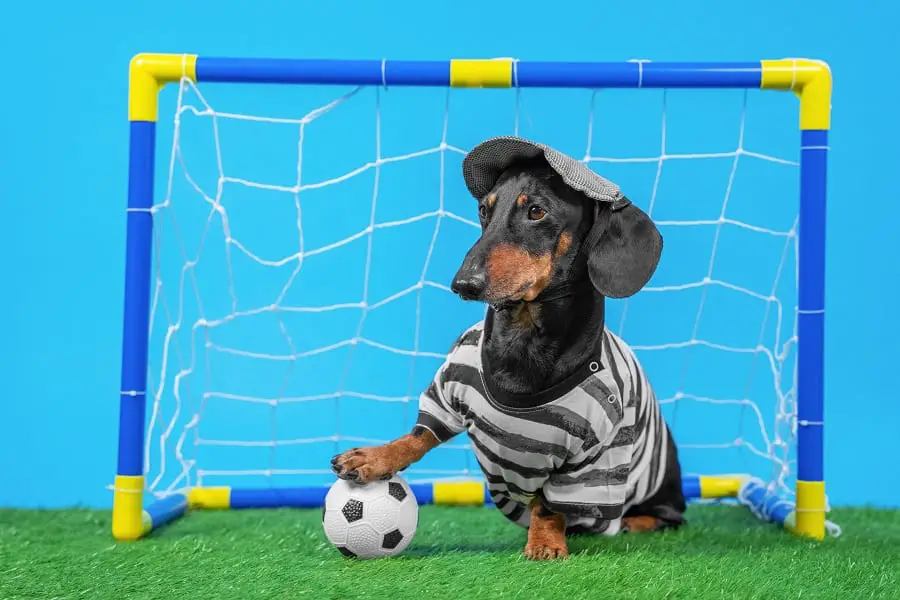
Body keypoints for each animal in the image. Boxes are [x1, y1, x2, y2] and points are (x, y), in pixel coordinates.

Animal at [334, 138, 684, 560]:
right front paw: (374, 458)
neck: (523, 338)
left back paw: (634, 521)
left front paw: (546, 541)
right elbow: (418, 436)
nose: (462, 284)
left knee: (668, 517)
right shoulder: (447, 391)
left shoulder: (592, 459)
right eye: (484, 210)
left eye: (536, 211)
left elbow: (550, 503)